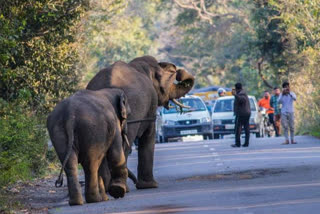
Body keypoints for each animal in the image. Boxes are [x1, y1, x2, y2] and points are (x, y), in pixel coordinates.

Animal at [86, 55, 194, 189]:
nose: (178, 72)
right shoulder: (151, 104)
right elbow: (149, 134)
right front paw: (150, 186)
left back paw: (109, 187)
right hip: (132, 112)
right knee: (125, 145)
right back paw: (120, 188)